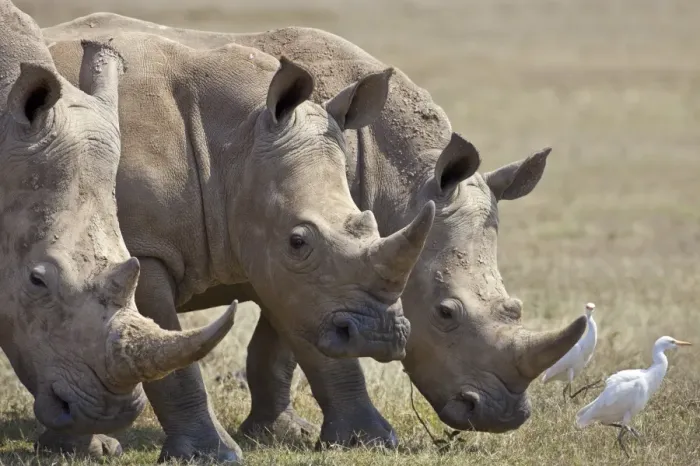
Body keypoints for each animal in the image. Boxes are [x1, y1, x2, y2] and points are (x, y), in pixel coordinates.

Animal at [43, 13, 586, 461]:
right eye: (445, 313)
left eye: (514, 309)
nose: (502, 416)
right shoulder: (158, 251)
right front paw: (367, 441)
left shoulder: (299, 263)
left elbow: (290, 346)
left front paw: (285, 434)